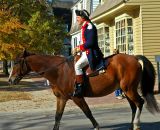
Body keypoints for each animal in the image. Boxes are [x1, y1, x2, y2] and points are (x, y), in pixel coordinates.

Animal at [8, 50, 159, 130]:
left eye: (16, 62)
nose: (10, 79)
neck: (58, 71)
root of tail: (134, 57)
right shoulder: (62, 98)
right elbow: (58, 116)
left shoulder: (77, 97)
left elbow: (88, 112)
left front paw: (96, 126)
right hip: (126, 90)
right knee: (134, 106)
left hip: (129, 90)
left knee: (140, 103)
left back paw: (136, 124)